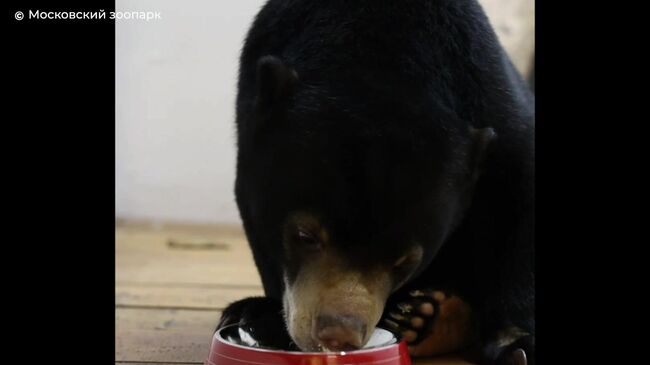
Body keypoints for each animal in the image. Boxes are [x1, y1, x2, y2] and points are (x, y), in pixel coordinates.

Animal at [218, 0, 532, 362]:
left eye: (406, 261)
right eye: (304, 235)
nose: (339, 334)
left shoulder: (494, 102)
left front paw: (515, 344)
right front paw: (261, 313)